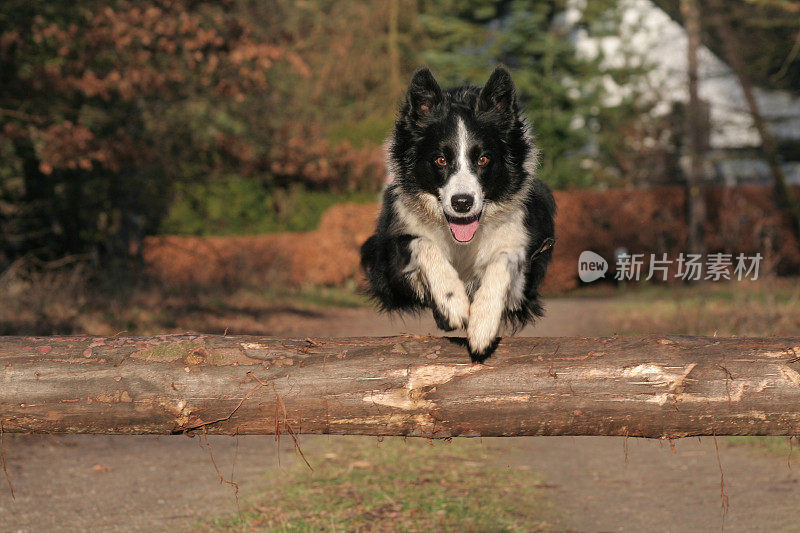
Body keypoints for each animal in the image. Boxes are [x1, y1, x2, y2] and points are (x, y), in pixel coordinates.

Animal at [360, 64, 552, 360]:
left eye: (483, 159)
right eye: (441, 160)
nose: (462, 202)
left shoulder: (524, 259)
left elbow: (505, 260)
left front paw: (483, 323)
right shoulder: (385, 262)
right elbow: (423, 243)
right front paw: (453, 303)